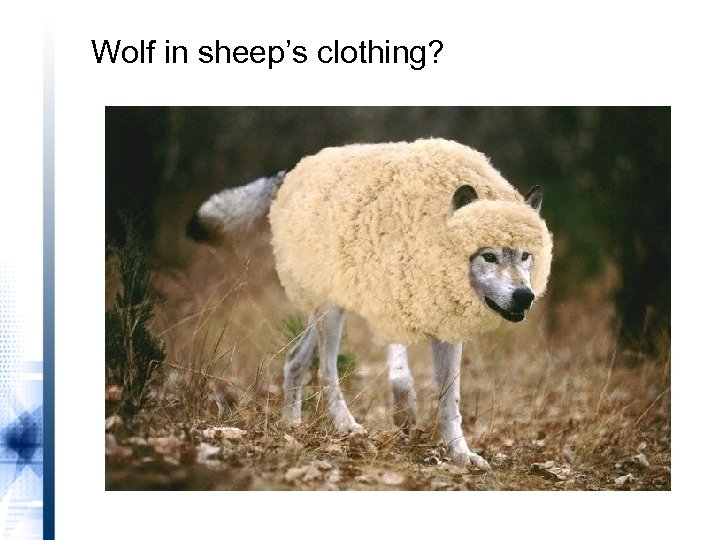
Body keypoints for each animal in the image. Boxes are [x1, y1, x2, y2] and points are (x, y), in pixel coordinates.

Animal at [188, 138, 553, 469]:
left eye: (525, 255)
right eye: (489, 256)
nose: (524, 296)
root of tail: (297, 167)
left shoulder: (446, 328)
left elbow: (451, 402)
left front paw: (461, 455)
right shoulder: (388, 303)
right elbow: (400, 372)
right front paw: (404, 411)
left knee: (294, 360)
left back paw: (292, 425)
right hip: (332, 313)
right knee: (326, 370)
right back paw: (346, 425)